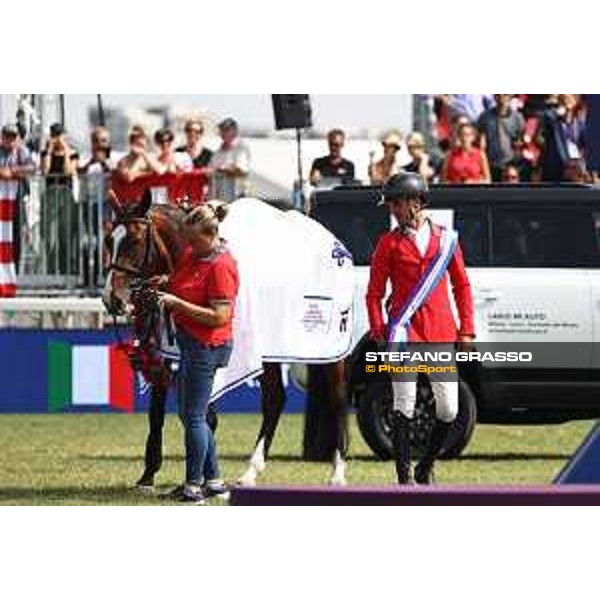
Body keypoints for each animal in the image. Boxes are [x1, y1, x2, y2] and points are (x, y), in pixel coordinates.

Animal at [101, 192, 350, 488]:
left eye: (135, 241)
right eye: (108, 240)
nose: (111, 299)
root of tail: (336, 246)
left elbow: (205, 417)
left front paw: (202, 479)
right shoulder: (165, 356)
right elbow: (158, 413)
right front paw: (148, 474)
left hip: (328, 351)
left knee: (337, 398)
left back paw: (337, 471)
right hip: (268, 352)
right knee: (275, 399)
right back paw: (251, 470)